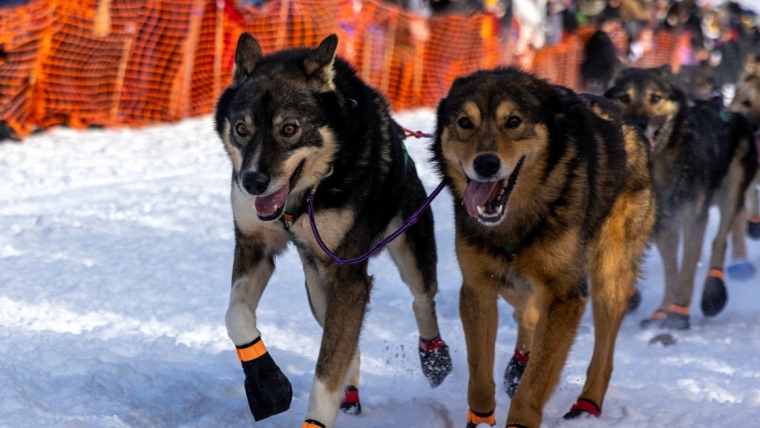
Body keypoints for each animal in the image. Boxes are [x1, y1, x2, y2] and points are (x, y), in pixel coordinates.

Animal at [430, 65, 656, 426]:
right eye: (465, 122)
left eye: (513, 121)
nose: (486, 164)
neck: (516, 219)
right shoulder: (478, 288)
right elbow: (479, 377)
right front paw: (480, 417)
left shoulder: (565, 296)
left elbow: (534, 385)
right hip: (514, 279)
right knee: (528, 311)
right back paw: (518, 364)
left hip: (609, 277)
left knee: (604, 351)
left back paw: (587, 404)